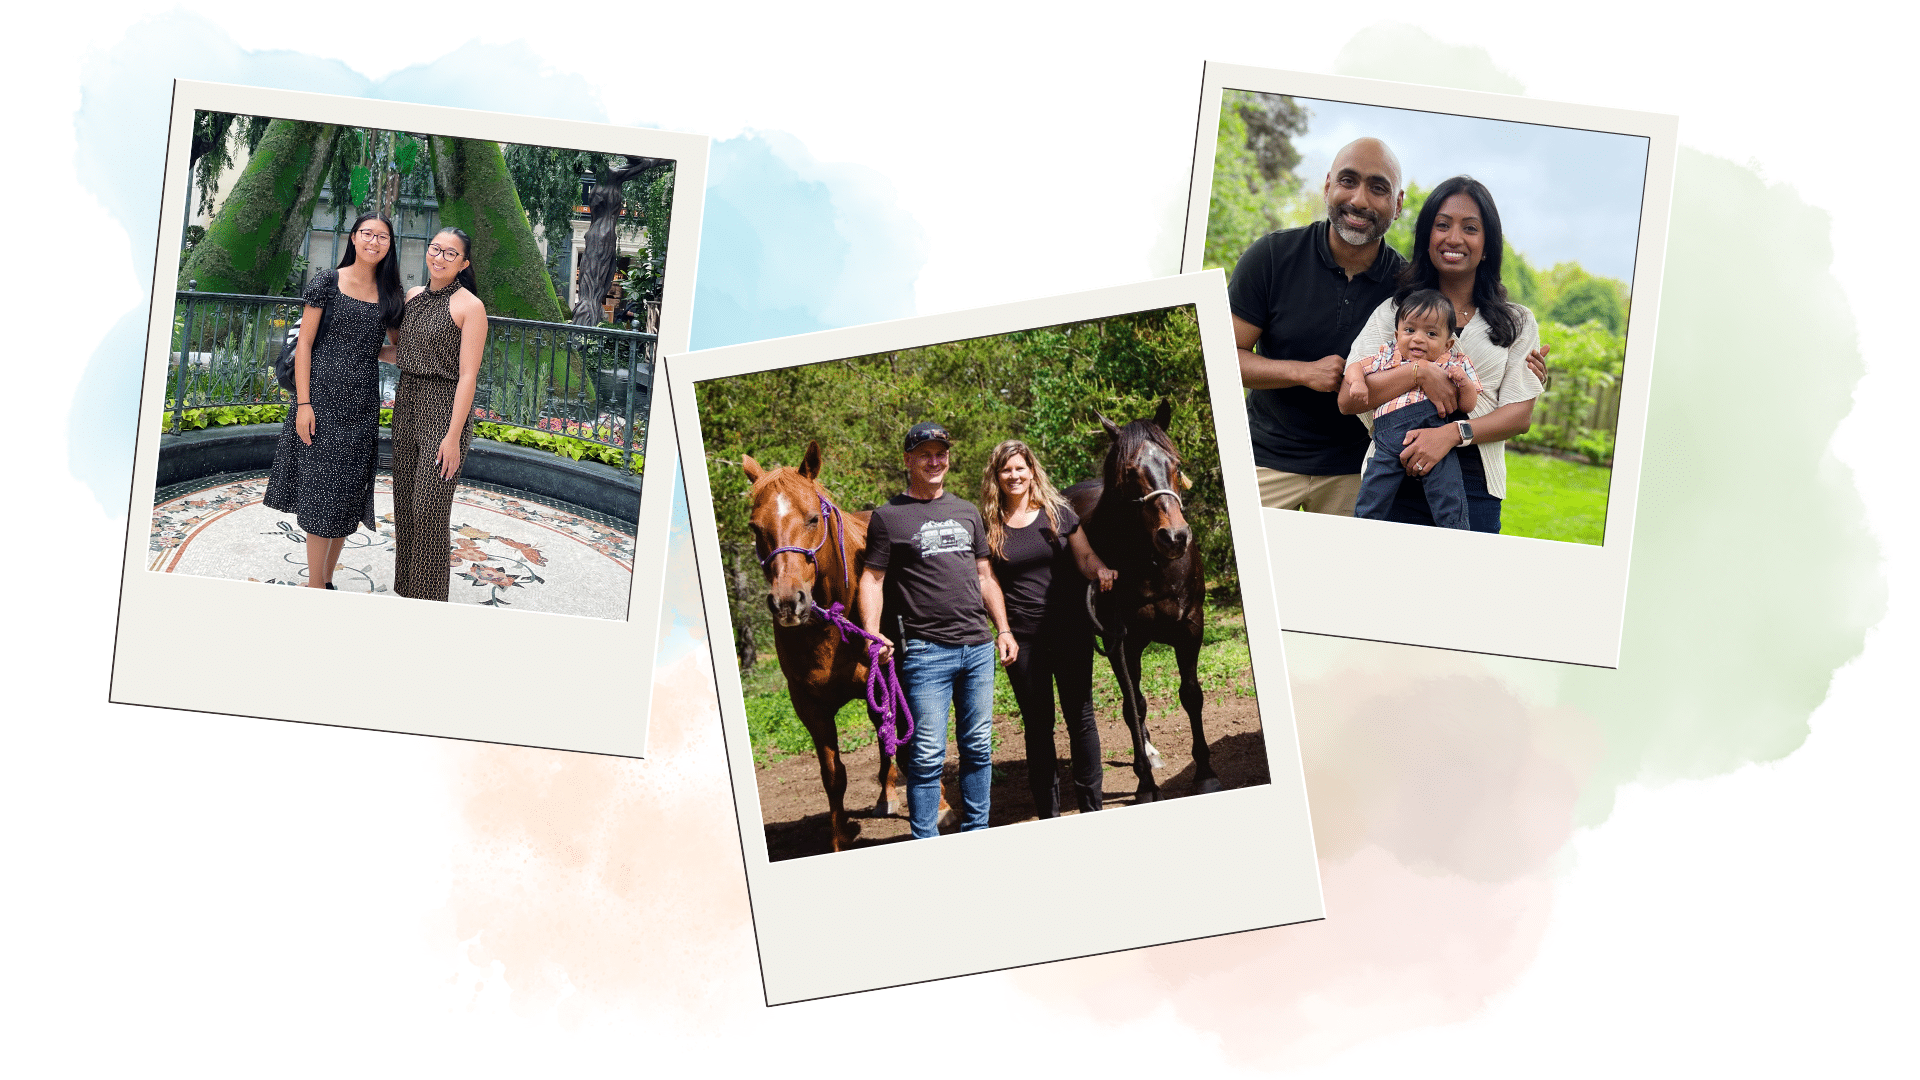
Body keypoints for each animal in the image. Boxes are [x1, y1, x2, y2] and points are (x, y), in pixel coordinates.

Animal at [1059, 399, 1221, 795]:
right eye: (1131, 472)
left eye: (1176, 465)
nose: (1174, 537)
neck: (1151, 563)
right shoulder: (1120, 641)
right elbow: (1133, 705)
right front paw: (1145, 783)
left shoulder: (1191, 628)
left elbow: (1191, 695)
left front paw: (1205, 772)